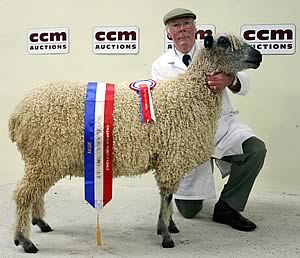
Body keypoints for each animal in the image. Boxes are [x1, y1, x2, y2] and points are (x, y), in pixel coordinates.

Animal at [8, 33, 262, 253]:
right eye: (224, 42)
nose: (258, 56)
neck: (188, 95)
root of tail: (18, 113)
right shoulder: (170, 159)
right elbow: (166, 197)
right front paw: (165, 234)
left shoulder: (168, 159)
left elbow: (168, 198)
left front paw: (170, 226)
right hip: (44, 156)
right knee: (23, 193)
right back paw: (24, 240)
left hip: (44, 158)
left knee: (35, 192)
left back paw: (40, 222)